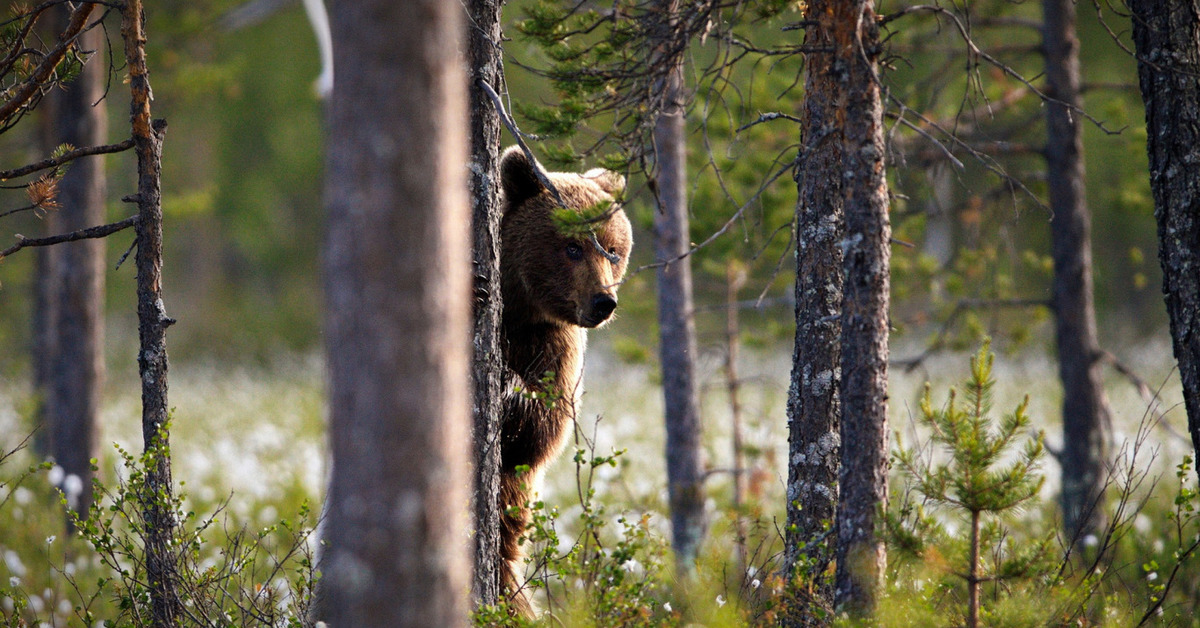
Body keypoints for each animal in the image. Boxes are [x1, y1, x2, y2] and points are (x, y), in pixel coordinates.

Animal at [494, 146, 633, 614]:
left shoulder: (558, 346)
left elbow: (544, 430)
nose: (603, 301)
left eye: (612, 249)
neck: (520, 310)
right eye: (572, 247)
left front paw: (509, 385)